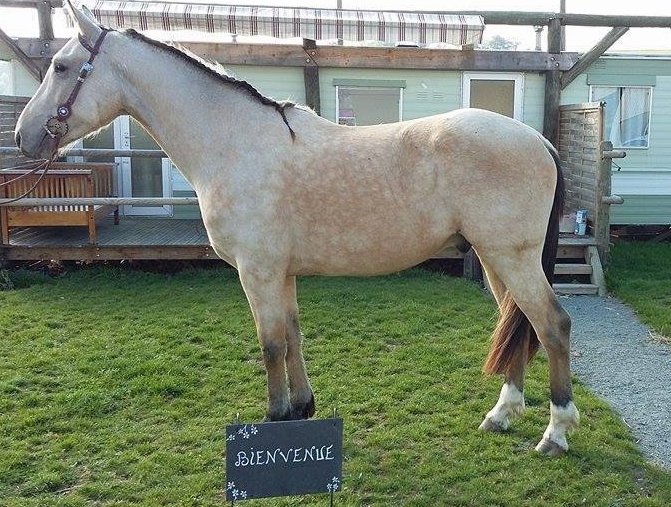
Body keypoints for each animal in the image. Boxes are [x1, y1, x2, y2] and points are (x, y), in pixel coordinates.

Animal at [14, 3, 579, 456]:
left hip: (511, 257)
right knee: (518, 324)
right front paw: (303, 406)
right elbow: (292, 334)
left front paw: (275, 416)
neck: (236, 143)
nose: (23, 137)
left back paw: (555, 433)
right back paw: (502, 415)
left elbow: (269, 343)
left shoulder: (257, 271)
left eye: (62, 66)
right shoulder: (280, 273)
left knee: (551, 325)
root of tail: (538, 141)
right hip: (494, 258)